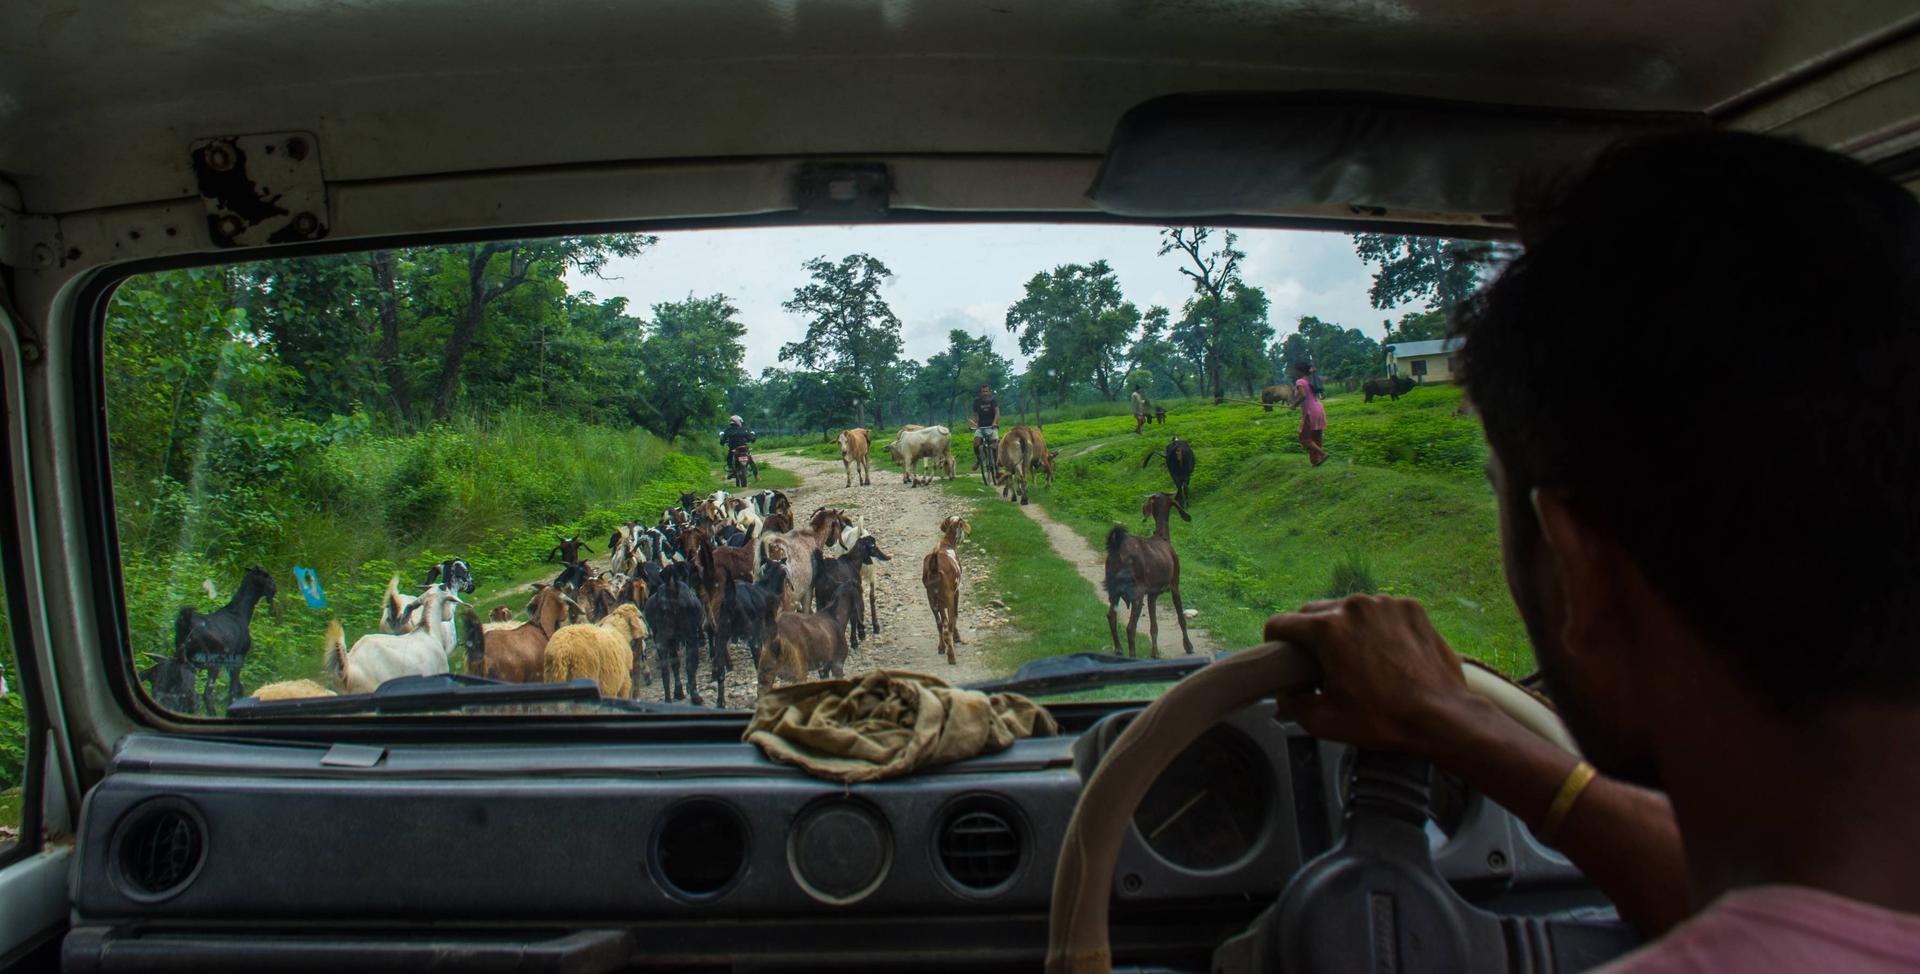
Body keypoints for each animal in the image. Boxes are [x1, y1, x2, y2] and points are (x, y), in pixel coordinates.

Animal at [174, 568, 278, 714]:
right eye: (268, 577)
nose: (275, 588)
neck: (243, 613)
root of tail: (186, 624)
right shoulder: (238, 658)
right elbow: (233, 691)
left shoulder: (229, 663)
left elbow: (239, 687)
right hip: (212, 663)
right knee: (206, 694)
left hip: (185, 663)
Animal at [917, 514, 967, 668]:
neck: (947, 543)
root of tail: (934, 569)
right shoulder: (956, 592)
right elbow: (955, 615)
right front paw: (957, 637)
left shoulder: (939, 603)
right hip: (948, 597)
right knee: (948, 625)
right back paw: (951, 656)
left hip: (931, 599)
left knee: (939, 624)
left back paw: (941, 647)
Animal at [1105, 491, 1190, 660]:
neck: (1163, 537)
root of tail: (1116, 549)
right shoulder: (1175, 584)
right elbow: (1180, 618)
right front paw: (1188, 646)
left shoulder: (1152, 594)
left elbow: (1154, 625)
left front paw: (1155, 653)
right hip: (1136, 593)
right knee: (1131, 627)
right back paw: (1132, 656)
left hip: (1114, 591)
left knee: (1111, 616)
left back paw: (1118, 649)